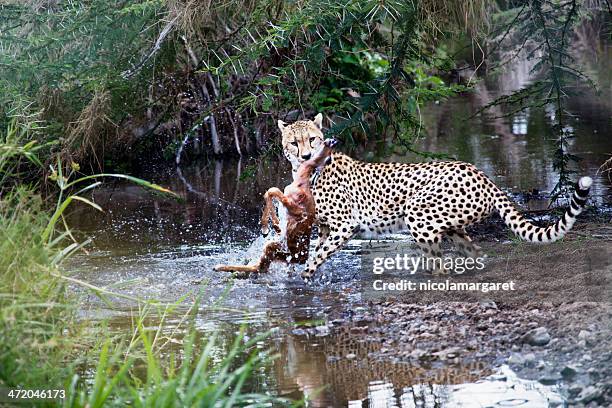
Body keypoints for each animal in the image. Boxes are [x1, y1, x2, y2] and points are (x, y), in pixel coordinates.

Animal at [280, 114, 596, 280]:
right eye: (294, 143)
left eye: (313, 139)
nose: (306, 155)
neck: (311, 171)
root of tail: (479, 173)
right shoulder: (325, 227)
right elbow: (316, 251)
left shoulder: (345, 226)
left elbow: (317, 256)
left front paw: (304, 277)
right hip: (449, 223)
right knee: (473, 252)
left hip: (418, 214)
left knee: (439, 263)